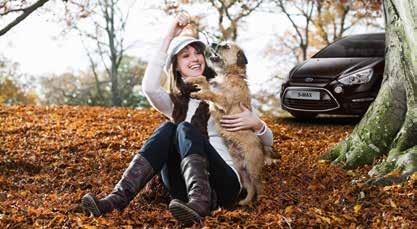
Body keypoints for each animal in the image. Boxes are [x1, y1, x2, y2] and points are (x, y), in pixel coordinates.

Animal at [184, 42, 264, 205]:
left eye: (226, 46)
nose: (213, 43)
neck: (229, 75)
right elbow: (203, 79)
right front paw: (191, 81)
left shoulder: (223, 101)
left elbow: (211, 93)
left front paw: (199, 93)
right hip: (242, 170)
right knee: (250, 188)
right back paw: (245, 202)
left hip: (252, 167)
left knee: (259, 186)